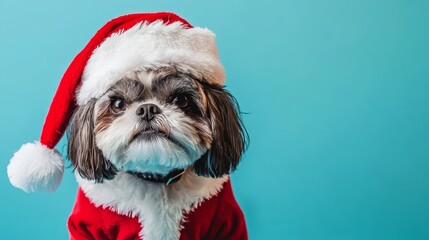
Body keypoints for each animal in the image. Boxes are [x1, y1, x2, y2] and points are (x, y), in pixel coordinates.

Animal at [7, 12, 247, 240]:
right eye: (118, 103)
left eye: (181, 100)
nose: (148, 109)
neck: (154, 178)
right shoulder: (87, 226)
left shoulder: (226, 221)